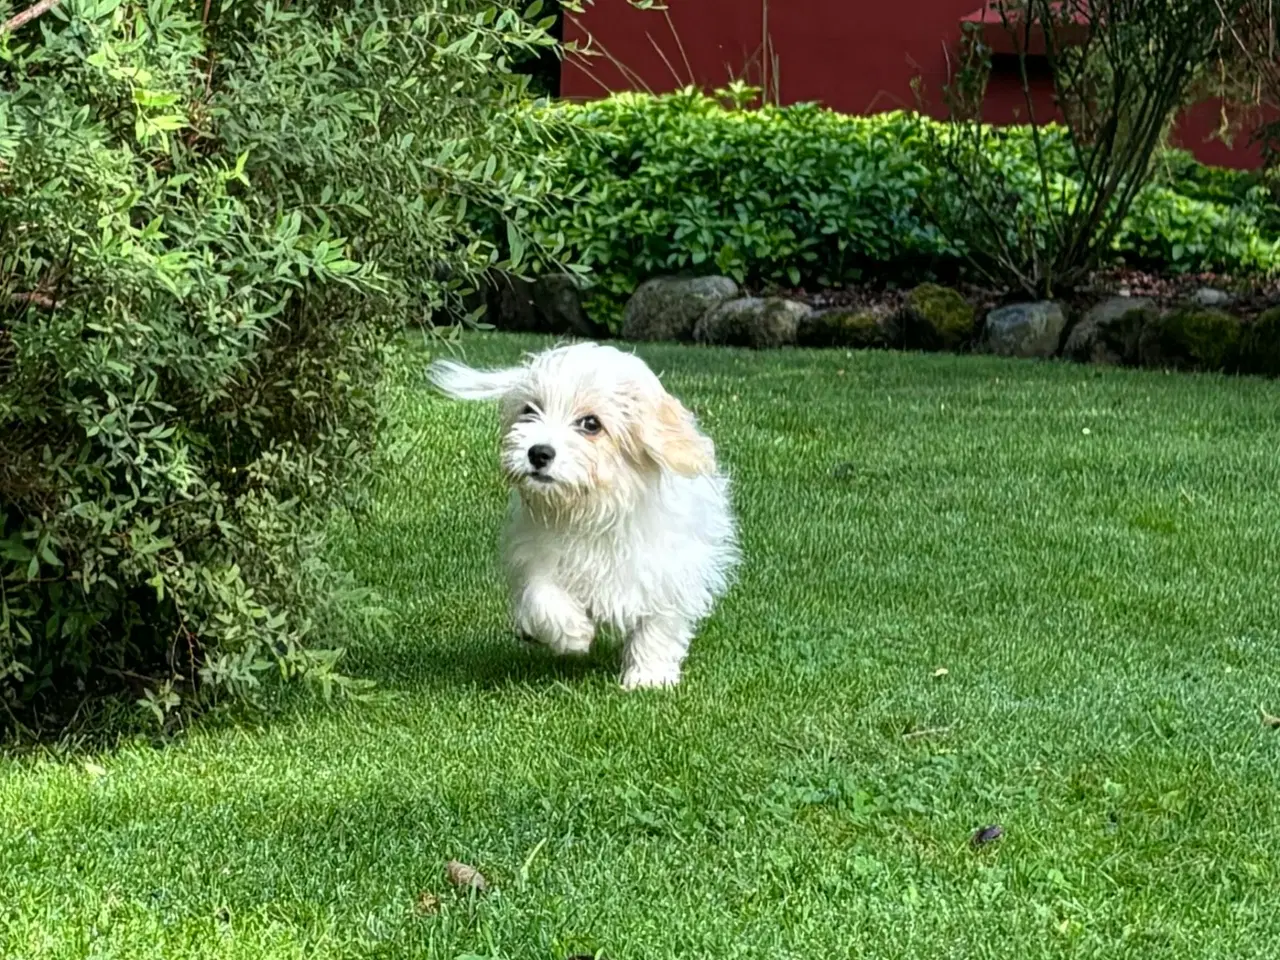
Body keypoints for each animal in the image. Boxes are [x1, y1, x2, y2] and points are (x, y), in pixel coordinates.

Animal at [424, 345, 737, 691]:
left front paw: (648, 676)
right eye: (529, 410)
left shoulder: (669, 569)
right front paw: (573, 633)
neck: (596, 508)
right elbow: (541, 595)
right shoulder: (536, 553)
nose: (538, 452)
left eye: (591, 424)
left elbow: (659, 623)